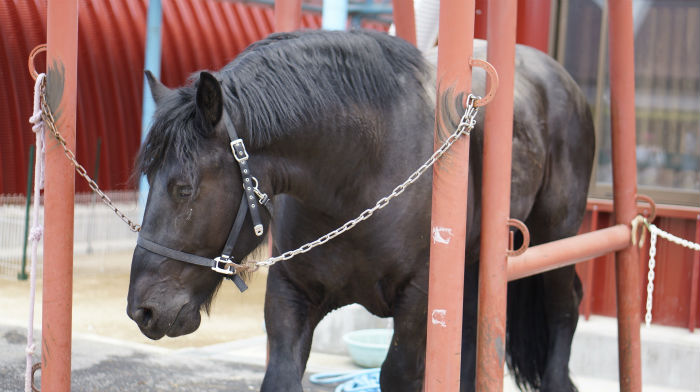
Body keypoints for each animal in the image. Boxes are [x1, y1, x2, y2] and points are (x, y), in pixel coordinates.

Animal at [126, 29, 592, 390]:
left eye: (184, 189)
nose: (142, 310)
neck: (357, 176)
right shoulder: (291, 292)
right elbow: (280, 375)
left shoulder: (418, 299)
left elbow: (398, 375)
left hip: (558, 234)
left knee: (564, 308)